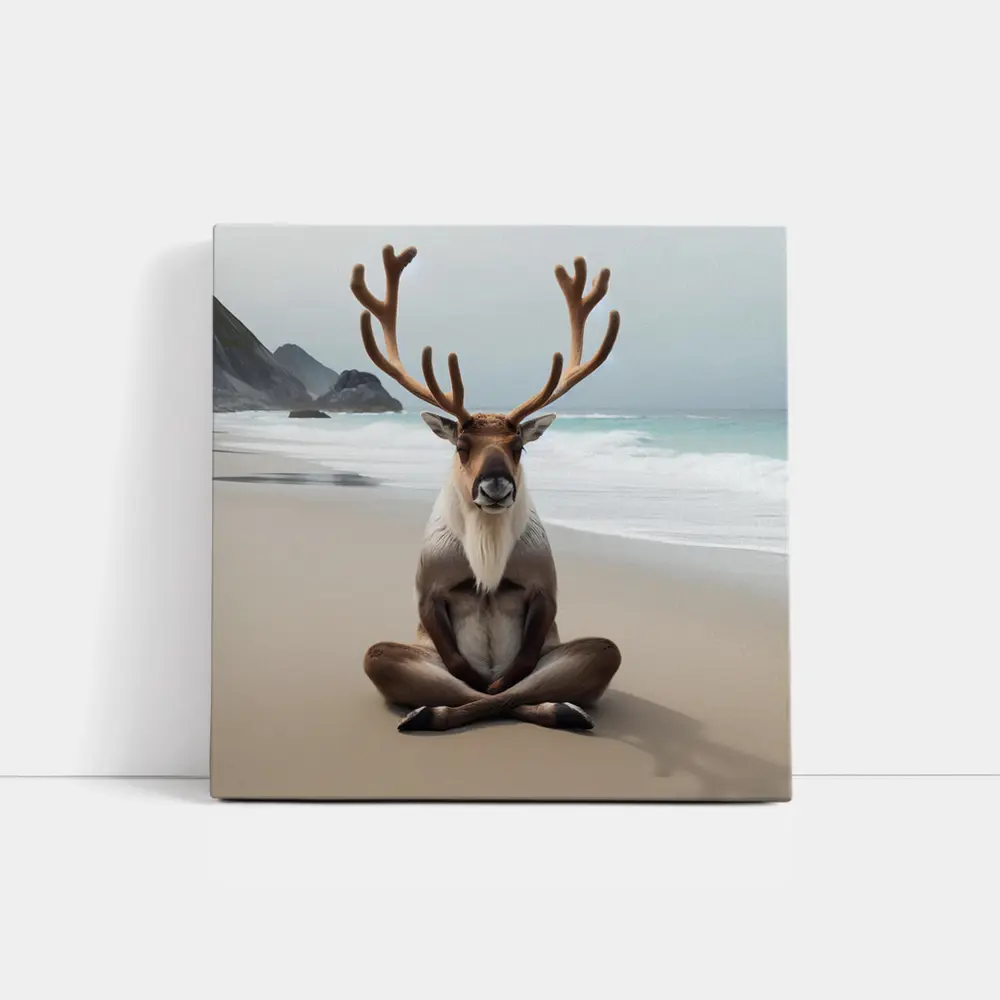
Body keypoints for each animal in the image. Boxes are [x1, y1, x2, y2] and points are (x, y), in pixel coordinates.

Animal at [352, 245, 622, 732]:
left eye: (518, 446)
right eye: (462, 446)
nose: (496, 485)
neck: (488, 553)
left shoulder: (545, 587)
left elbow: (519, 672)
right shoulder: (427, 589)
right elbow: (463, 670)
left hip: (594, 651)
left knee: (545, 678)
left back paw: (562, 708)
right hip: (385, 653)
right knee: (424, 673)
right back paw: (426, 712)